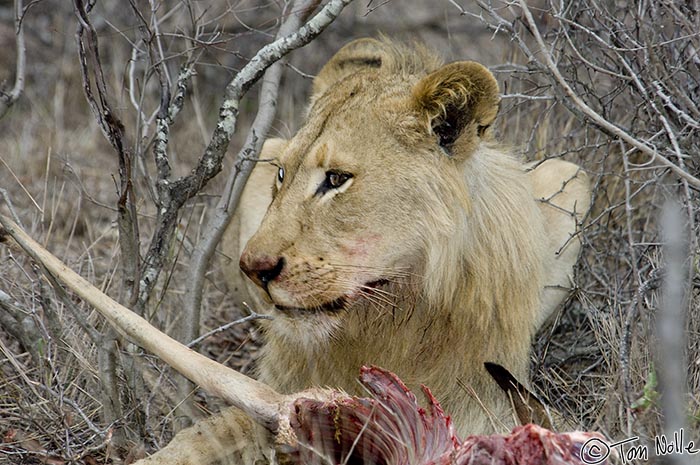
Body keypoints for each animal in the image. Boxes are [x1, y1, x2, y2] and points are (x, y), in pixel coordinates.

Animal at [133, 37, 592, 464]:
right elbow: (214, 429)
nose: (254, 268)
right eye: (282, 174)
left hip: (573, 177)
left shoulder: (476, 399)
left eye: (336, 179)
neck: (394, 312)